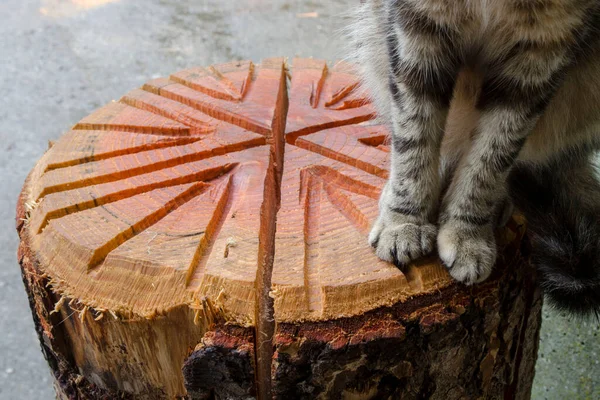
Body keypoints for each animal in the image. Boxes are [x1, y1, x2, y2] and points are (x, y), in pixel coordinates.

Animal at [346, 0, 600, 316]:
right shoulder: (417, 30)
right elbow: (414, 135)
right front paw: (403, 221)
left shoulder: (541, 56)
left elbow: (490, 158)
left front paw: (467, 233)